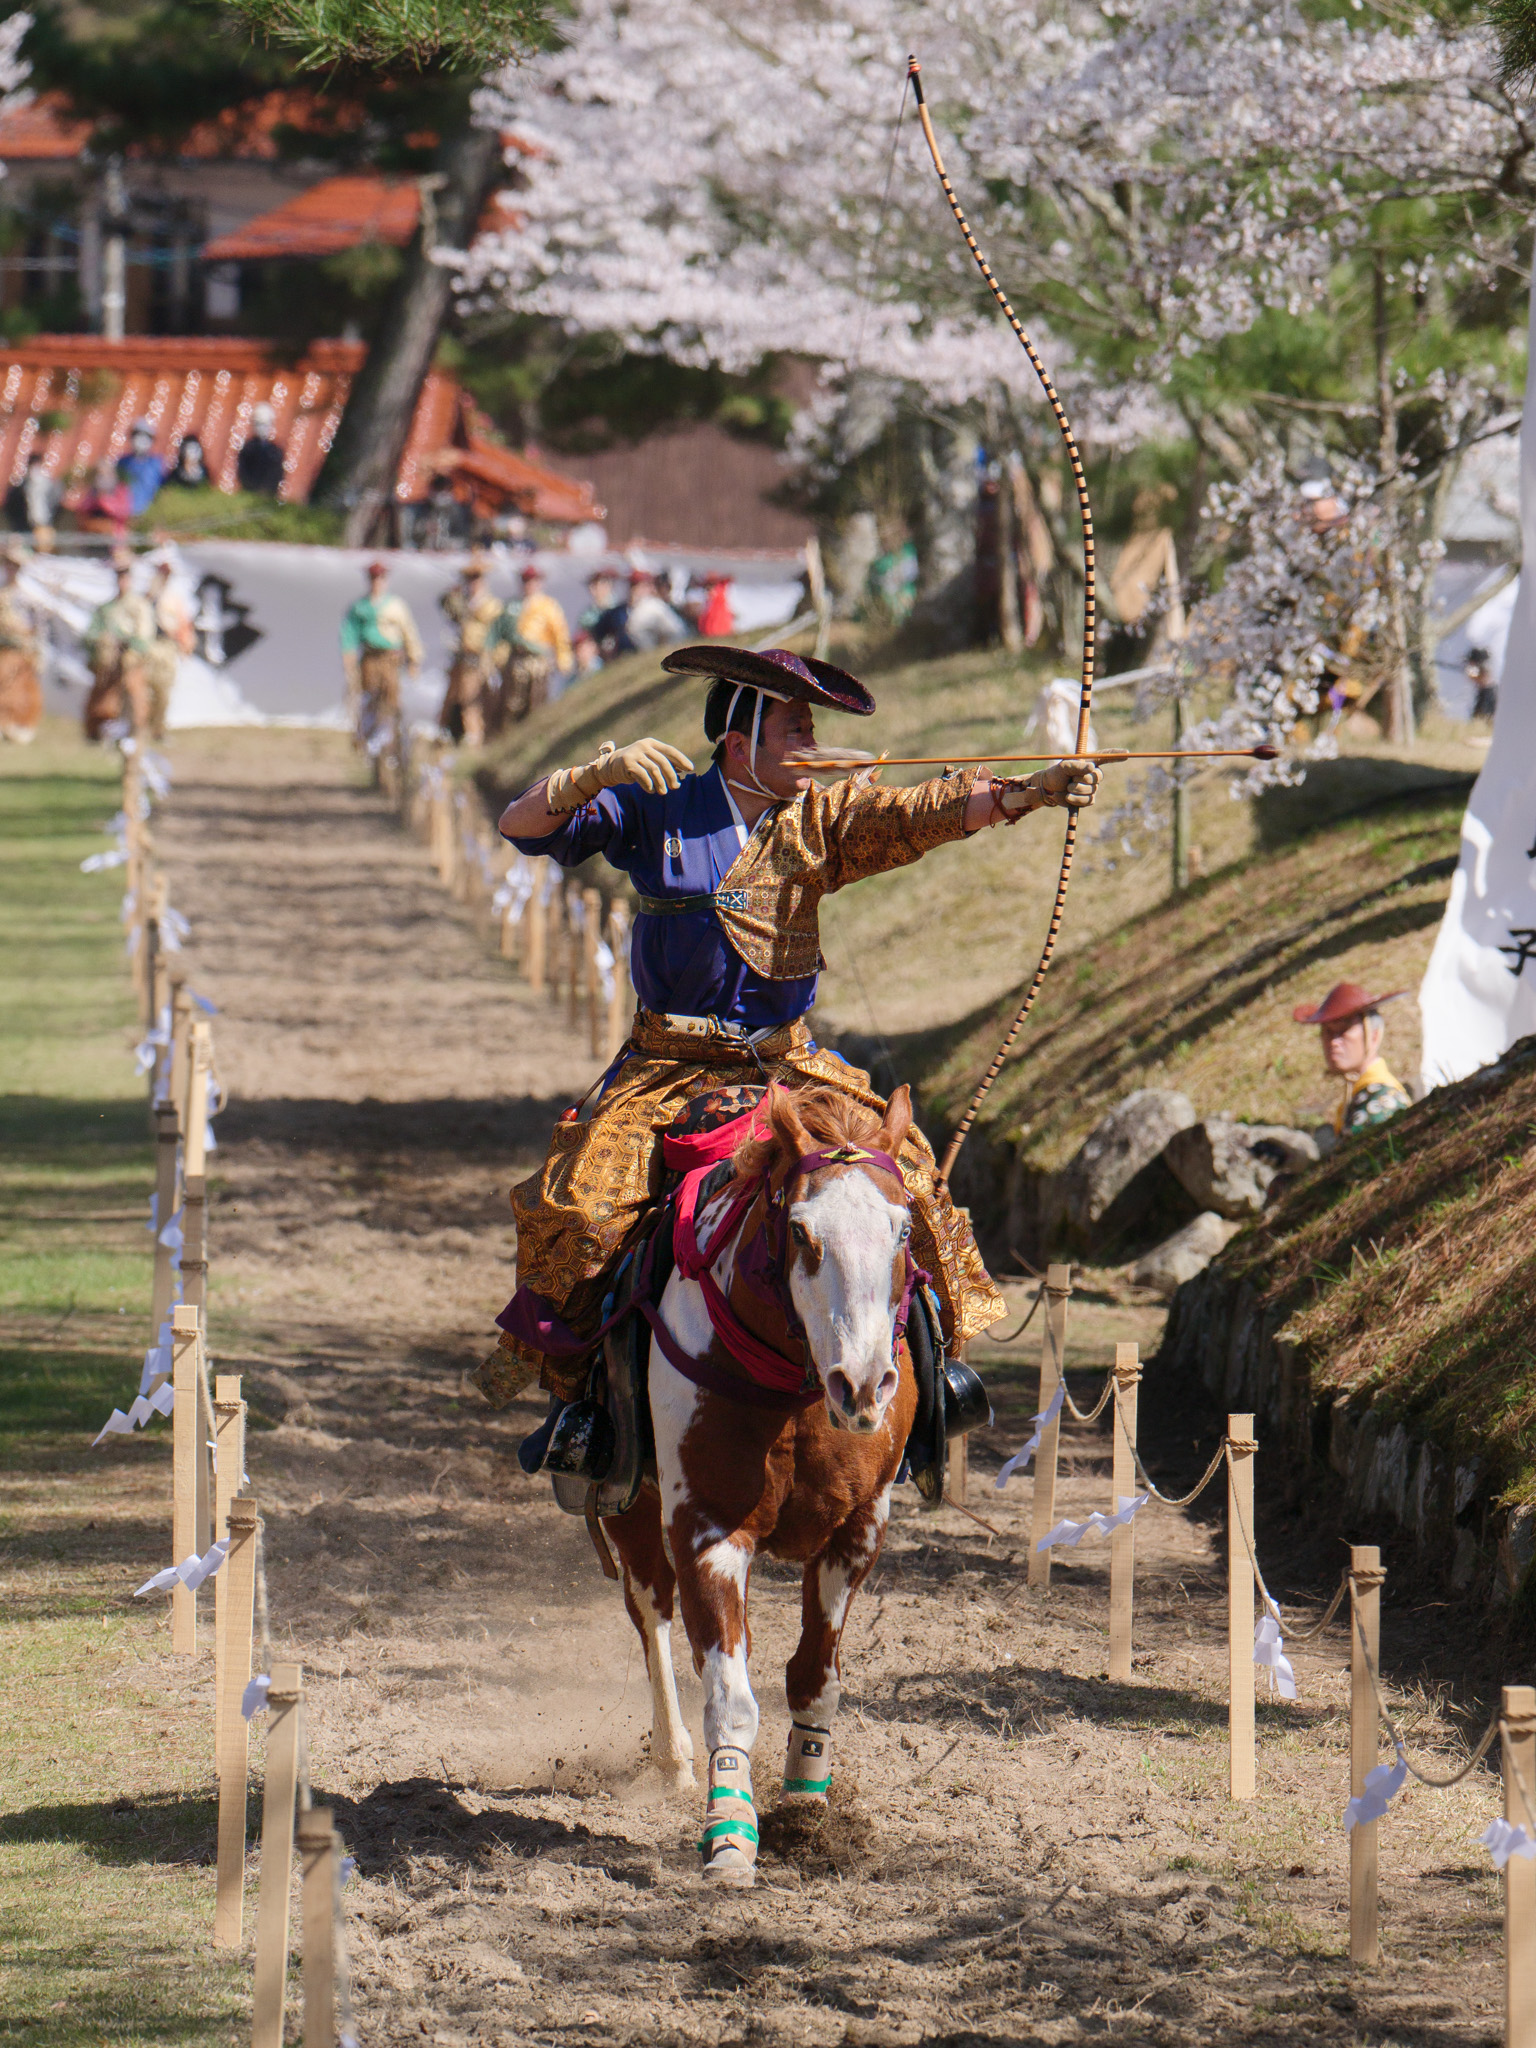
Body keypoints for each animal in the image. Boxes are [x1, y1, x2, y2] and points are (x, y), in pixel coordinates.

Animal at [606, 1089, 921, 1884]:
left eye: (904, 1228)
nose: (863, 1383)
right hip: (628, 1503)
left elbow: (815, 1674)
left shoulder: (859, 1527)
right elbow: (730, 1695)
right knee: (650, 1609)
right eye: (802, 1231)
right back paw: (675, 1758)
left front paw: (807, 1802)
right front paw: (729, 1832)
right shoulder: (709, 1531)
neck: (793, 1384)